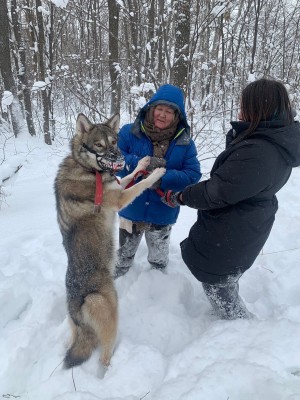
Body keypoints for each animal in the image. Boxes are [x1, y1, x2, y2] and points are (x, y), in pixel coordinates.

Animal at [54, 113, 166, 368]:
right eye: (99, 145)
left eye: (114, 142)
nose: (119, 158)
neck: (88, 168)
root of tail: (77, 312)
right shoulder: (119, 198)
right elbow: (140, 184)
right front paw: (156, 174)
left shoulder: (118, 185)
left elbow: (129, 177)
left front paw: (144, 163)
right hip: (111, 312)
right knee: (104, 356)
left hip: (76, 329)